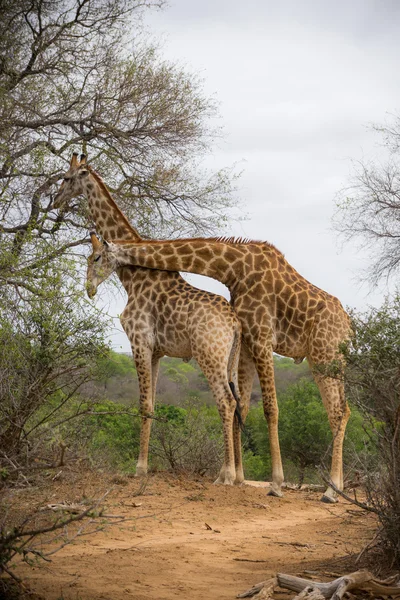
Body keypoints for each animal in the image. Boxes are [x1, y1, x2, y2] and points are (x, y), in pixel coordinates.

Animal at [104, 233, 352, 502]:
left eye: (100, 257)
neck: (234, 269)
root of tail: (348, 326)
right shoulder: (246, 341)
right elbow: (242, 406)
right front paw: (235, 477)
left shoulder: (261, 337)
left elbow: (269, 408)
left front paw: (275, 484)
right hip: (332, 361)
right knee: (343, 410)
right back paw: (338, 486)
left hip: (323, 354)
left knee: (336, 412)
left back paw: (330, 491)